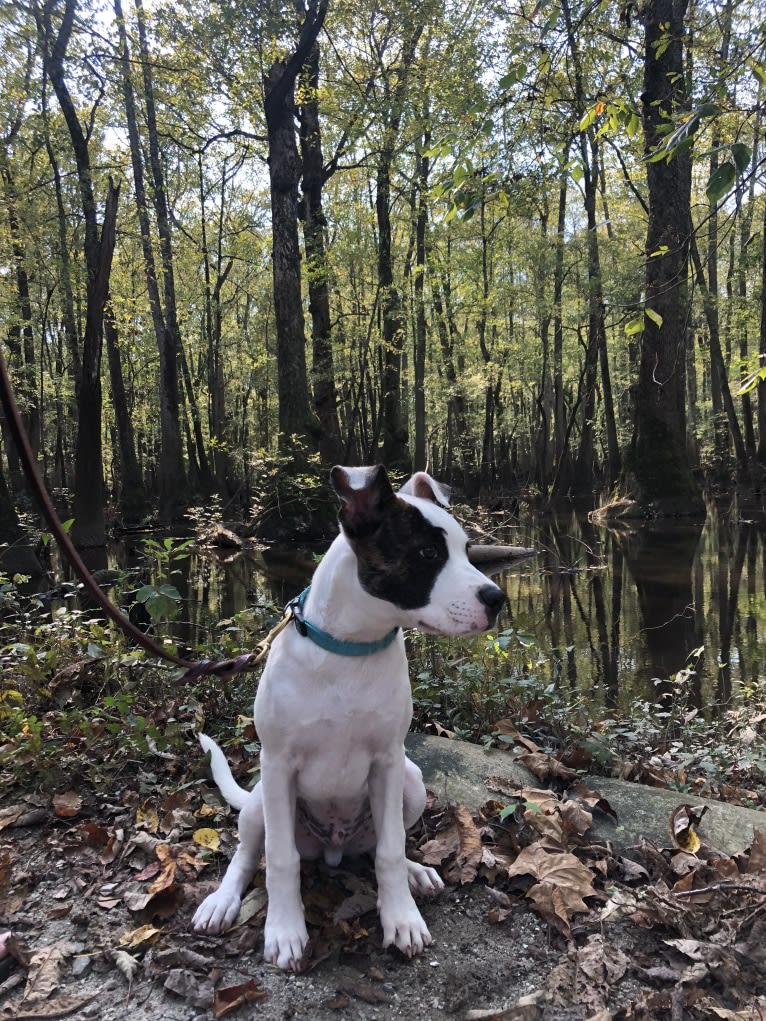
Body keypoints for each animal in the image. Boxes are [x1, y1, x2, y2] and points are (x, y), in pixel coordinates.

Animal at [192, 467, 506, 967]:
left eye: (466, 549)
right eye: (428, 553)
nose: (497, 599)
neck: (351, 650)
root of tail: (333, 848)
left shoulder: (389, 760)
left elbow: (390, 850)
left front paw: (401, 917)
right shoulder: (278, 764)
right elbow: (280, 859)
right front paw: (284, 930)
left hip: (411, 783)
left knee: (380, 845)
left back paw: (415, 872)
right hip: (261, 801)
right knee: (247, 854)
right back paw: (222, 901)